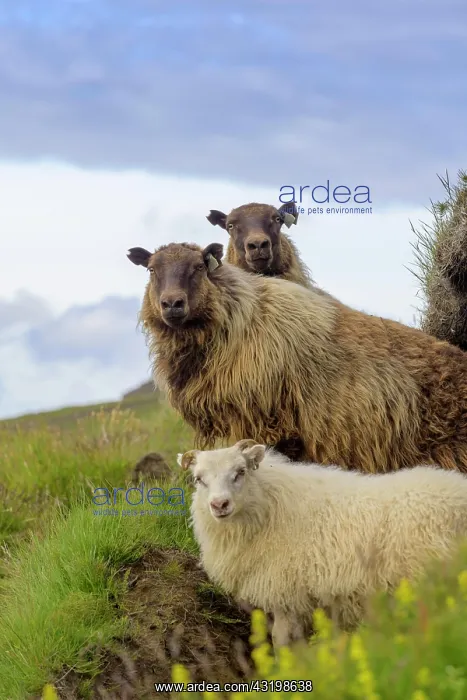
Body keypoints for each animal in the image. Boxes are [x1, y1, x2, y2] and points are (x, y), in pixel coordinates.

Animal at [179, 439, 467, 647]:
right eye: (199, 479)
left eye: (240, 472)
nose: (219, 505)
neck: (269, 507)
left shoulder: (283, 592)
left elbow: (280, 640)